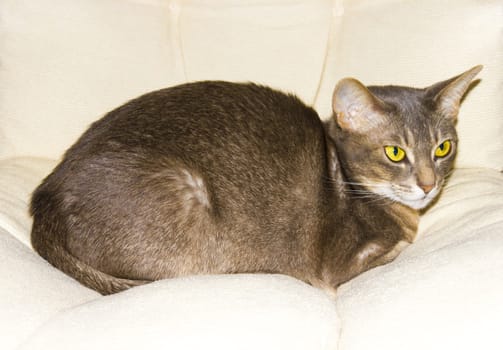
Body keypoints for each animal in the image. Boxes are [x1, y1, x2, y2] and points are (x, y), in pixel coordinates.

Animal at [29, 66, 482, 296]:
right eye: (395, 153)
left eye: (443, 148)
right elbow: (396, 249)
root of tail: (44, 202)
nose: (428, 185)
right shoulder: (339, 266)